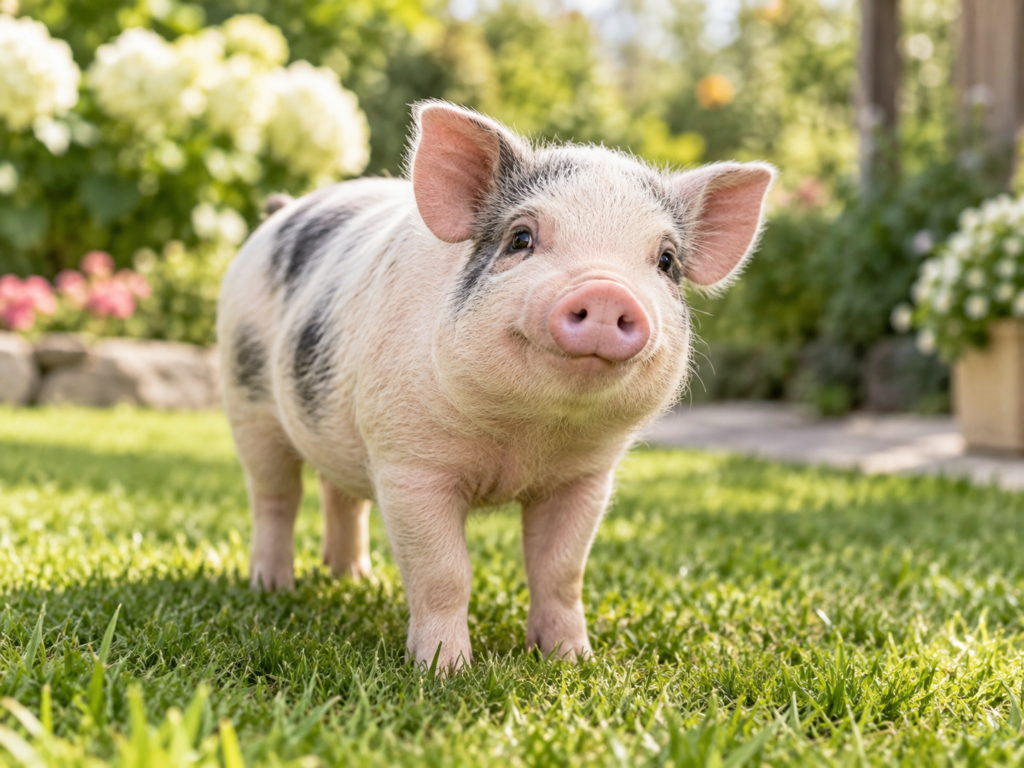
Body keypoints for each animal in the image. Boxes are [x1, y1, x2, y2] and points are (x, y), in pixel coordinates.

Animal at [217, 100, 775, 672]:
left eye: (666, 261)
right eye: (520, 238)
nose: (606, 291)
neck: (525, 438)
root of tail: (281, 211)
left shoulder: (585, 477)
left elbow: (562, 571)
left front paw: (573, 662)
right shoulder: (409, 464)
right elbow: (444, 572)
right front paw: (444, 671)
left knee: (341, 495)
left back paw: (354, 579)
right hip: (246, 397)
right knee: (275, 496)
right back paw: (273, 588)